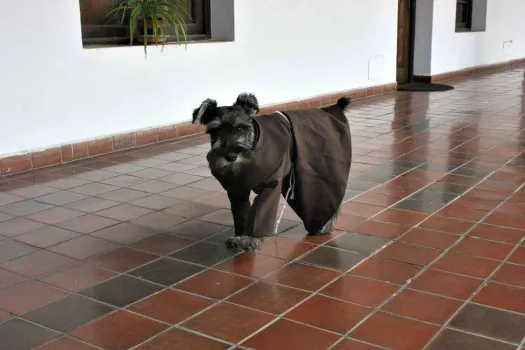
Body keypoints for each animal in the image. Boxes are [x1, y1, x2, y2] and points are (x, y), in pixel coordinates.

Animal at [192, 93, 352, 252]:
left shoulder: (270, 186)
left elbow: (260, 212)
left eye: (241, 128)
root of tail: (334, 109)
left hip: (317, 172)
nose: (231, 156)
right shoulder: (237, 190)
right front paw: (240, 237)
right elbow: (240, 213)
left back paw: (323, 225)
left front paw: (251, 239)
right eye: (216, 130)